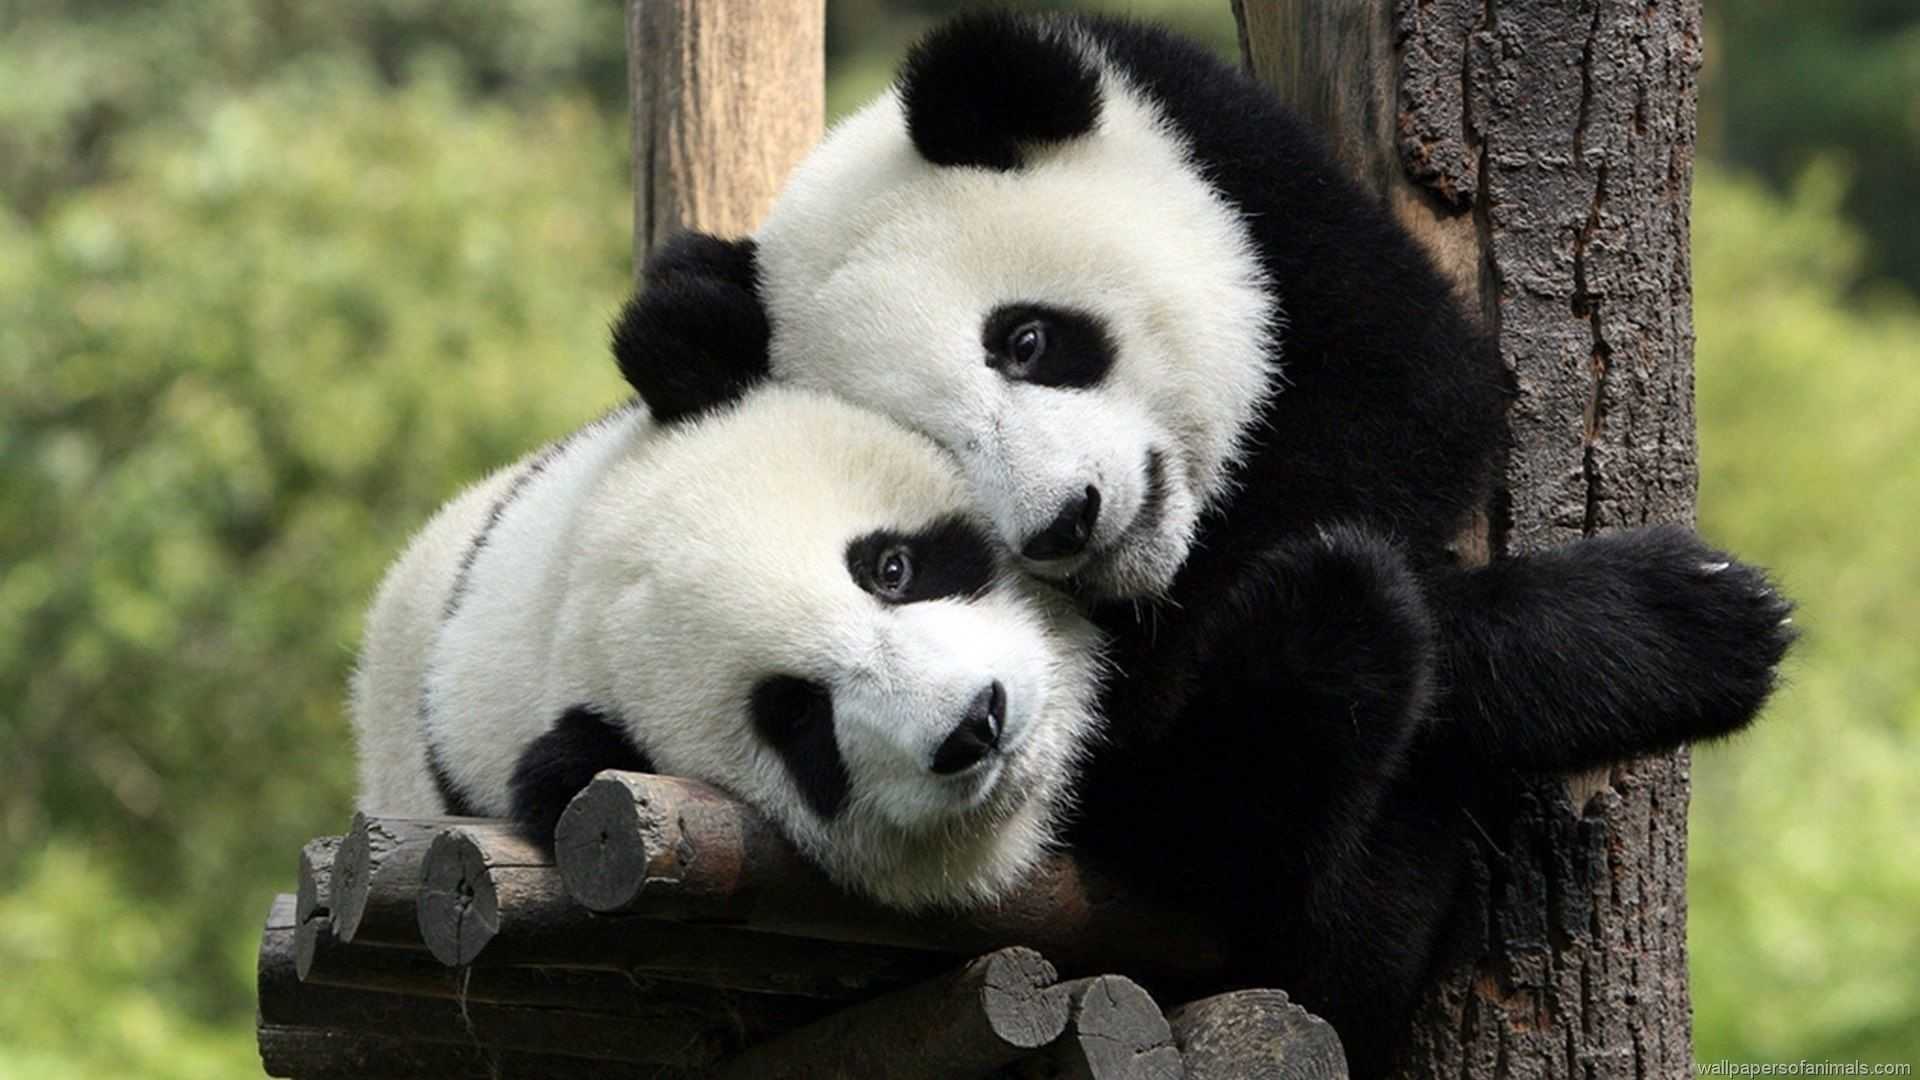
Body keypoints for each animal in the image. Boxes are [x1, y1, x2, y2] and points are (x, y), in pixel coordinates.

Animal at [609, 11, 1797, 1073]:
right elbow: (1165, 749)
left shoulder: (1251, 180)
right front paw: (1679, 627)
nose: (1067, 521)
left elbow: (1412, 398)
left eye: (1026, 340)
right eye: (937, 448)